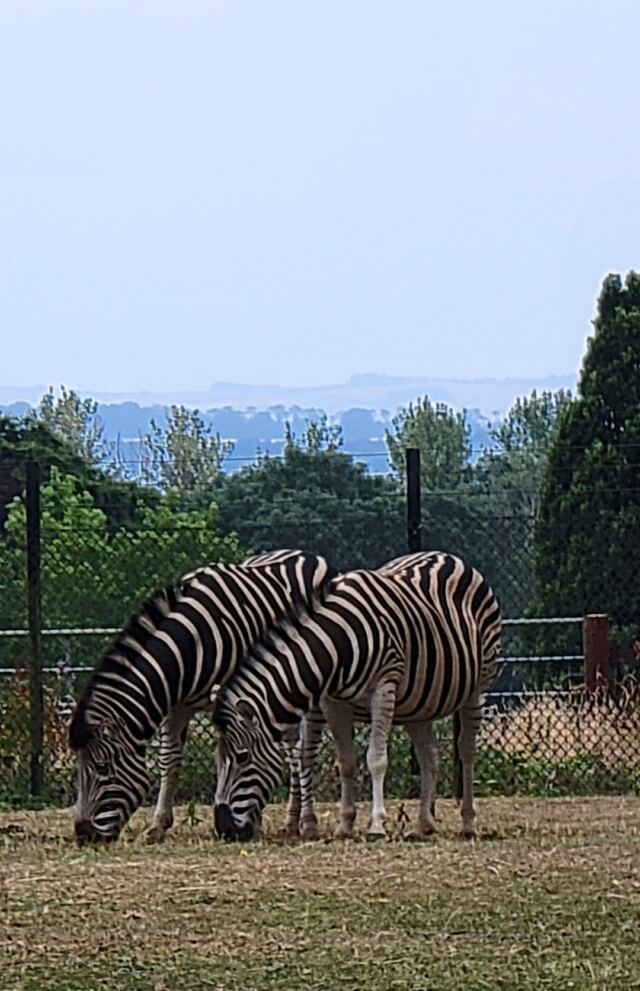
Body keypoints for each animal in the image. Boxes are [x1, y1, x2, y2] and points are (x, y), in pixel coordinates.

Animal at [68, 549, 335, 845]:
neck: (189, 645)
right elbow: (170, 759)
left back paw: (306, 822)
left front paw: (252, 823)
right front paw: (158, 825)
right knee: (292, 751)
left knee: (304, 752)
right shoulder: (175, 705)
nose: (83, 834)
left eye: (102, 768)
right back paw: (290, 821)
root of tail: (305, 553)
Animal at [212, 551, 502, 842]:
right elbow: (346, 763)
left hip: (477, 688)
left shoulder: (383, 688)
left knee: (466, 750)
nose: (224, 829)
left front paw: (376, 825)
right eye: (217, 759)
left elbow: (375, 759)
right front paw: (345, 825)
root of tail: (445, 555)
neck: (335, 644)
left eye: (243, 757)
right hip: (418, 703)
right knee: (428, 755)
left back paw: (468, 823)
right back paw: (422, 825)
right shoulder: (333, 702)